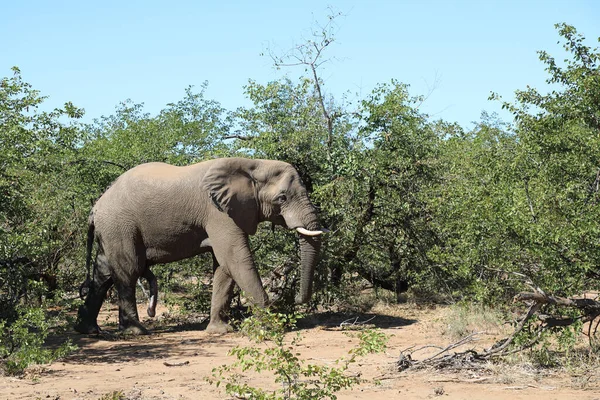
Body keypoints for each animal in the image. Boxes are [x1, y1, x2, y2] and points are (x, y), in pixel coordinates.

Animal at [76, 156, 328, 334]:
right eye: (282, 198)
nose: (296, 300)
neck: (253, 164)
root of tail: (95, 208)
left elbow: (223, 267)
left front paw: (219, 330)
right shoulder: (219, 212)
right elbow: (235, 258)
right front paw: (272, 325)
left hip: (111, 229)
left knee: (104, 273)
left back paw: (88, 330)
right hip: (119, 225)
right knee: (128, 271)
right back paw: (136, 332)